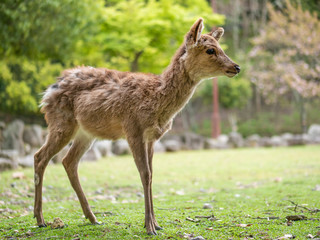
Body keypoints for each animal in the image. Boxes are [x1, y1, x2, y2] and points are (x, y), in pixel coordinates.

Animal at [34, 18, 240, 234]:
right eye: (210, 50)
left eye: (220, 47)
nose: (236, 67)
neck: (157, 99)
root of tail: (47, 93)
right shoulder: (133, 128)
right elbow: (145, 174)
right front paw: (149, 226)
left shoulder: (151, 137)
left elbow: (151, 174)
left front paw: (156, 223)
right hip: (61, 122)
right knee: (40, 157)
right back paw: (40, 219)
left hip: (86, 133)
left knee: (68, 161)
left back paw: (92, 218)